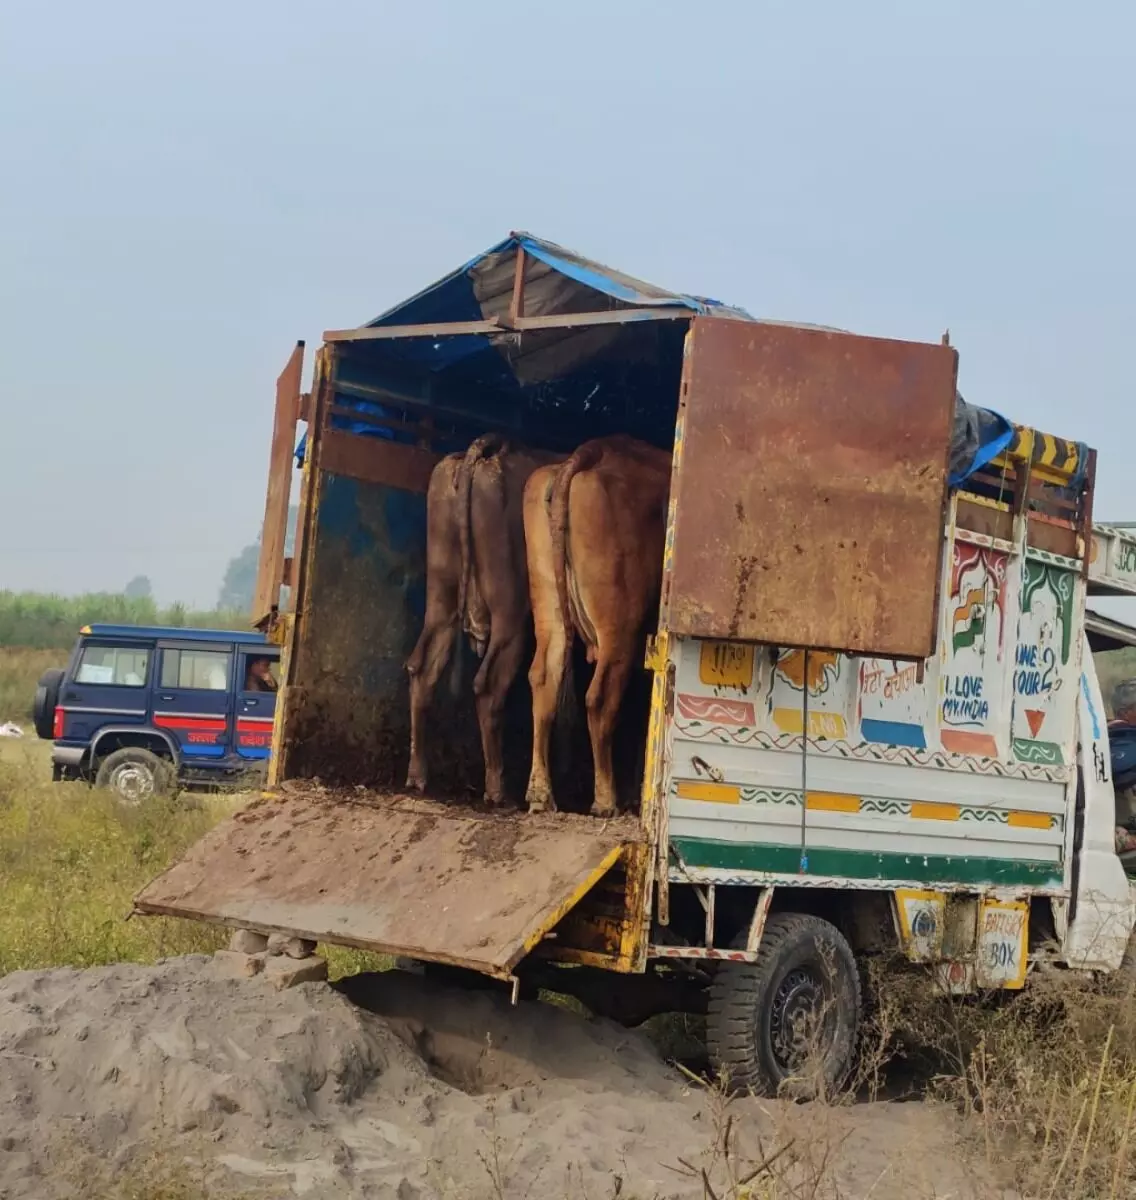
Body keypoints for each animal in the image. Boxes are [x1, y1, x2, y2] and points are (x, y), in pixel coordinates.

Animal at [405, 432, 556, 806]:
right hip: (510, 614)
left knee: (422, 669)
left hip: (442, 601)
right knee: (488, 686)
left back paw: (417, 774)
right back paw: (497, 788)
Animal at [525, 432, 676, 816]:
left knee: (544, 678)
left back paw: (540, 793)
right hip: (619, 629)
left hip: (549, 608)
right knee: (600, 699)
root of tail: (594, 450)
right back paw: (607, 799)